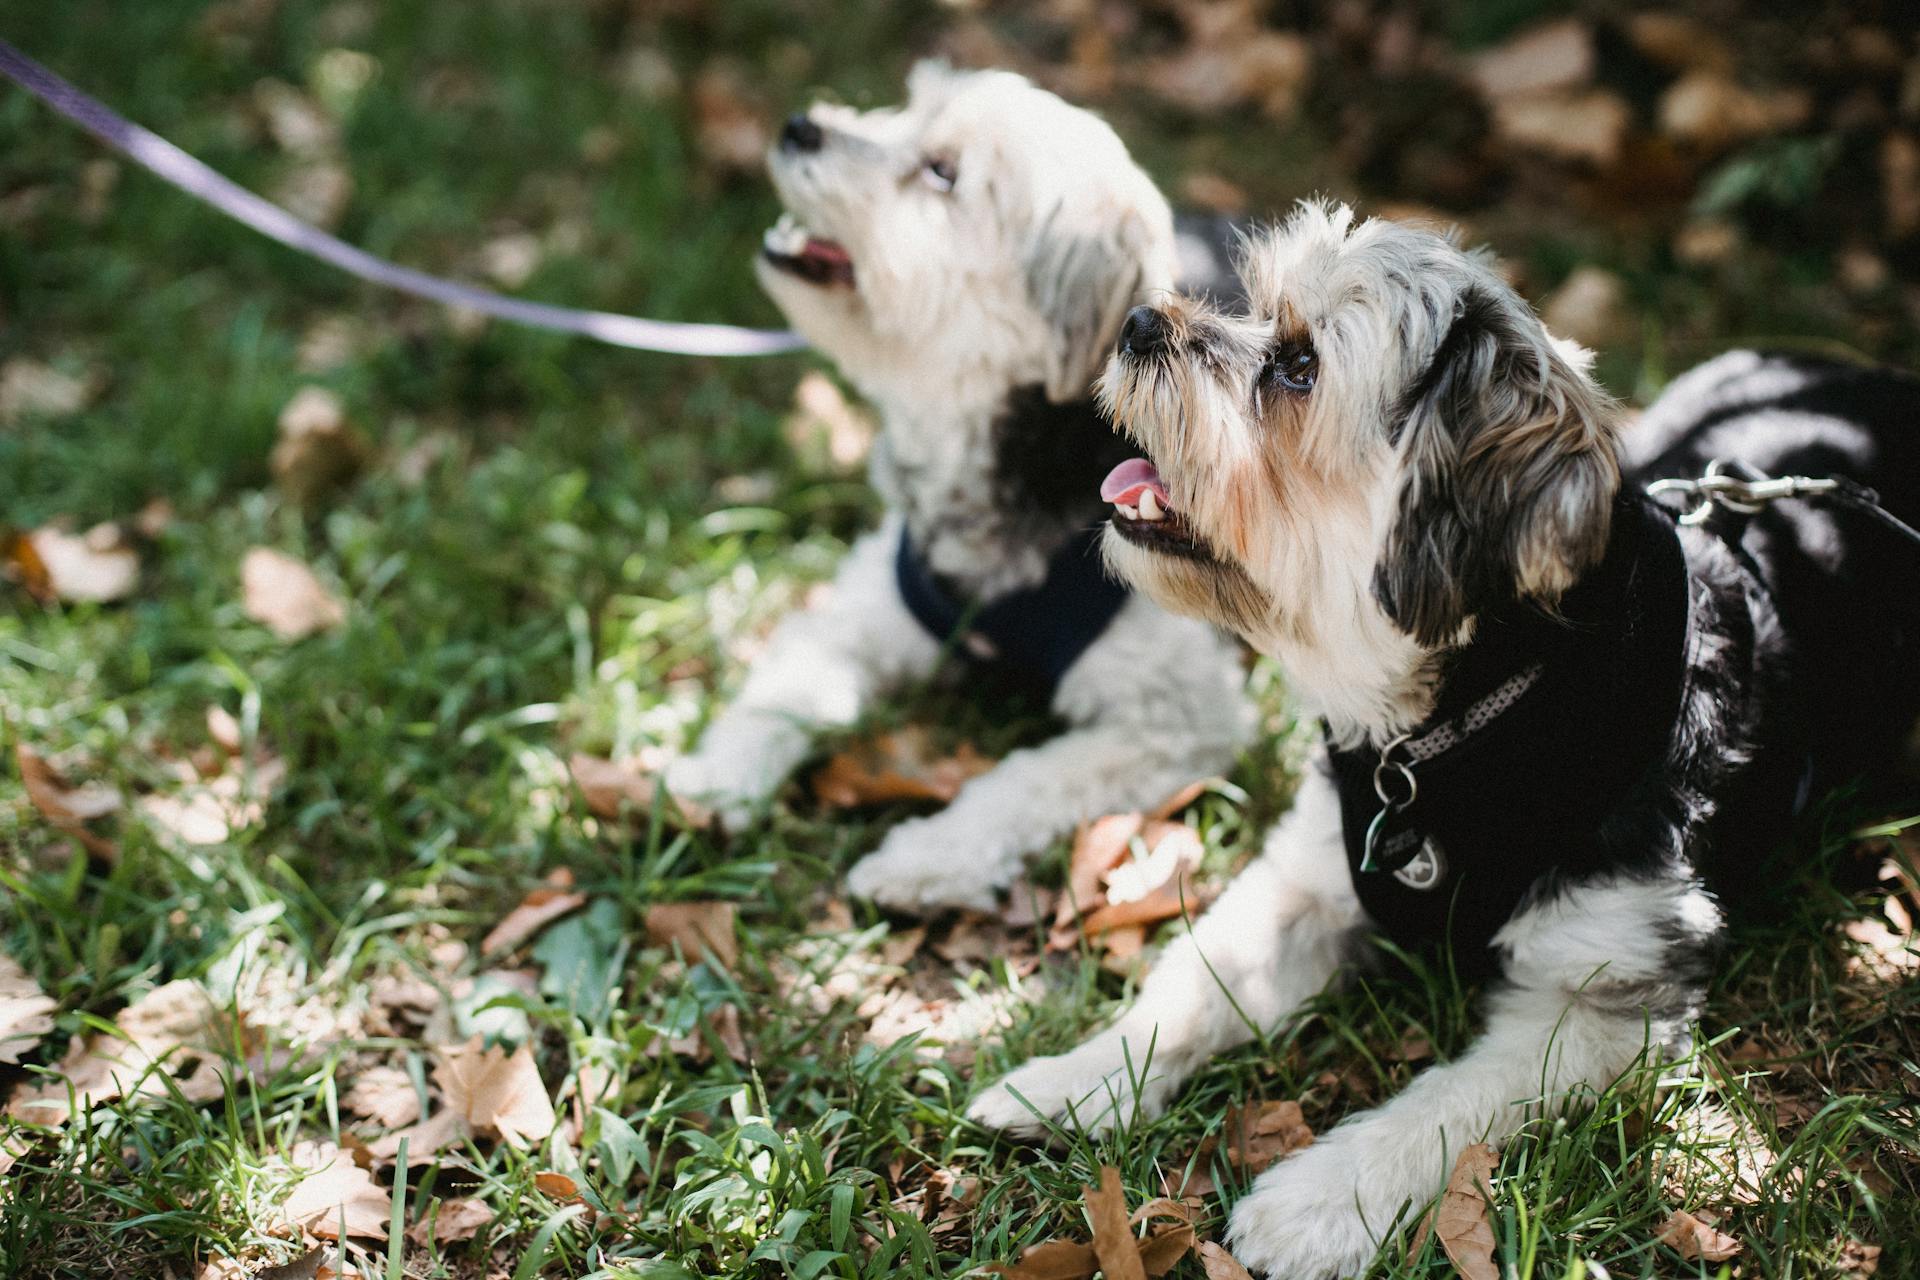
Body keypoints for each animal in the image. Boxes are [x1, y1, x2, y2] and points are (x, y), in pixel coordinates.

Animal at [668, 65, 1251, 917]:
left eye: (942, 171)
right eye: (907, 109)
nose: (800, 125)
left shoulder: (1177, 717)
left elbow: (1024, 782)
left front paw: (926, 857)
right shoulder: (869, 607)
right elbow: (788, 691)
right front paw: (716, 779)